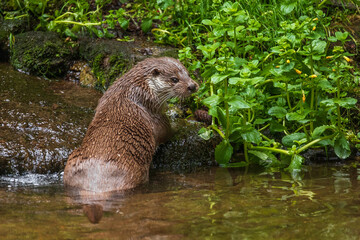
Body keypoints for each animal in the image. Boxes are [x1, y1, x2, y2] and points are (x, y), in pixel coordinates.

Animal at [64, 57, 200, 192]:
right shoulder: (158, 117)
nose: (192, 86)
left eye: (188, 74)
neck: (139, 91)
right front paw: (180, 125)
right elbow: (167, 132)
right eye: (174, 79)